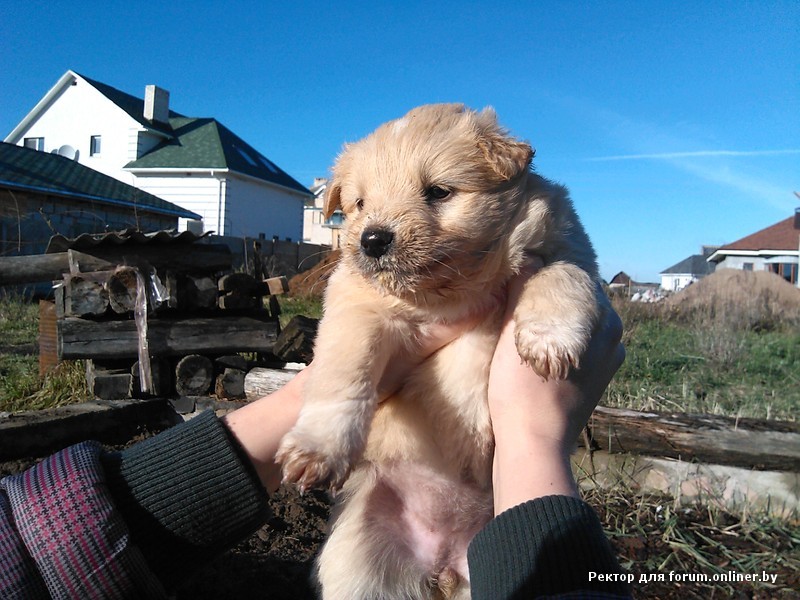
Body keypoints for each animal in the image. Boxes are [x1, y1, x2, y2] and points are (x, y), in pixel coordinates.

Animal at [278, 104, 604, 600]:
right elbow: (343, 372)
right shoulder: (355, 307)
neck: (450, 290)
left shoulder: (565, 249)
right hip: (359, 560)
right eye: (359, 204)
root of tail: (443, 565)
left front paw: (550, 339)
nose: (372, 240)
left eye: (438, 191)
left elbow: (562, 275)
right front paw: (318, 449)